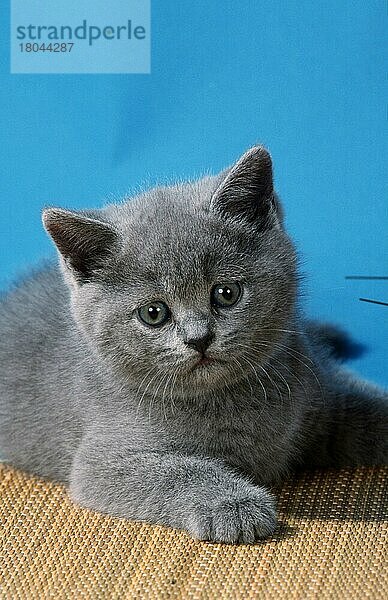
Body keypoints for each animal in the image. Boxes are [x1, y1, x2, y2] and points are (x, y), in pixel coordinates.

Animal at [0, 146, 386, 544]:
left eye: (226, 293)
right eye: (153, 313)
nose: (199, 338)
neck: (228, 400)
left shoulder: (322, 388)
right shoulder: (102, 460)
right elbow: (176, 473)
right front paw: (235, 506)